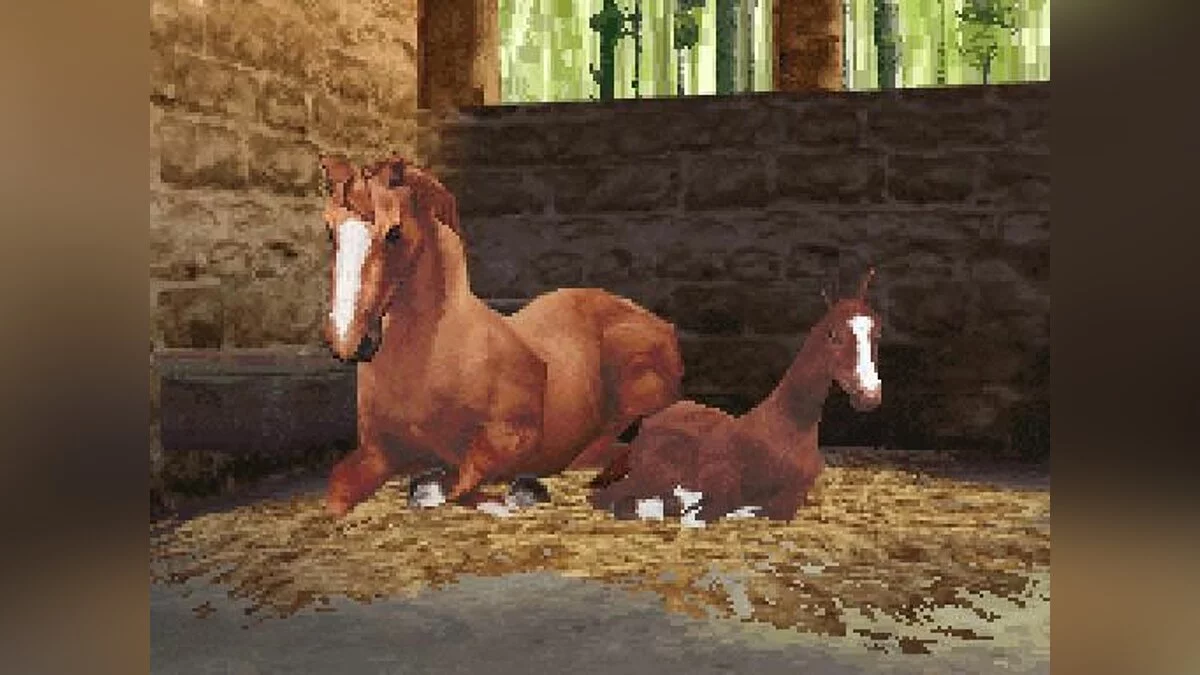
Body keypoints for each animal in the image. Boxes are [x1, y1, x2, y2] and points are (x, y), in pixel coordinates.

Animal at [318, 155, 684, 518]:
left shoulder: (512, 436)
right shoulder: (377, 451)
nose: (347, 340)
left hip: (638, 387)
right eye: (330, 231)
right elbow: (337, 493)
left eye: (394, 232)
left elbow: (461, 486)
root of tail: (657, 321)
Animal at [589, 269, 882, 525]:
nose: (869, 395)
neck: (786, 431)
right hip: (650, 474)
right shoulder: (722, 489)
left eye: (876, 333)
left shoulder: (792, 499)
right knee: (604, 497)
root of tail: (655, 417)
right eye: (833, 335)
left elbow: (769, 510)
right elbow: (716, 511)